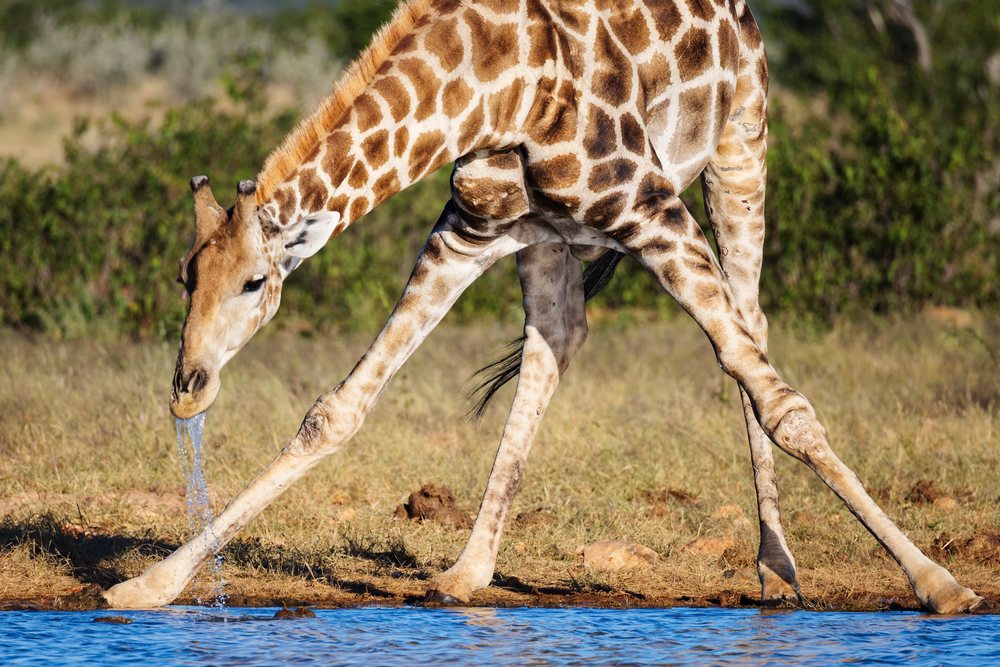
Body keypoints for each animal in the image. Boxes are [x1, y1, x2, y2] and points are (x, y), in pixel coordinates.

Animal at [103, 0, 984, 613]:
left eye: (255, 282)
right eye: (185, 275)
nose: (188, 388)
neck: (491, 86)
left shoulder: (650, 203)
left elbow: (782, 402)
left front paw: (940, 583)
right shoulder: (469, 226)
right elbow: (337, 411)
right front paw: (149, 585)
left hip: (740, 145)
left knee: (751, 326)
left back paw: (777, 565)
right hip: (545, 237)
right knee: (556, 339)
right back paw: (466, 569)